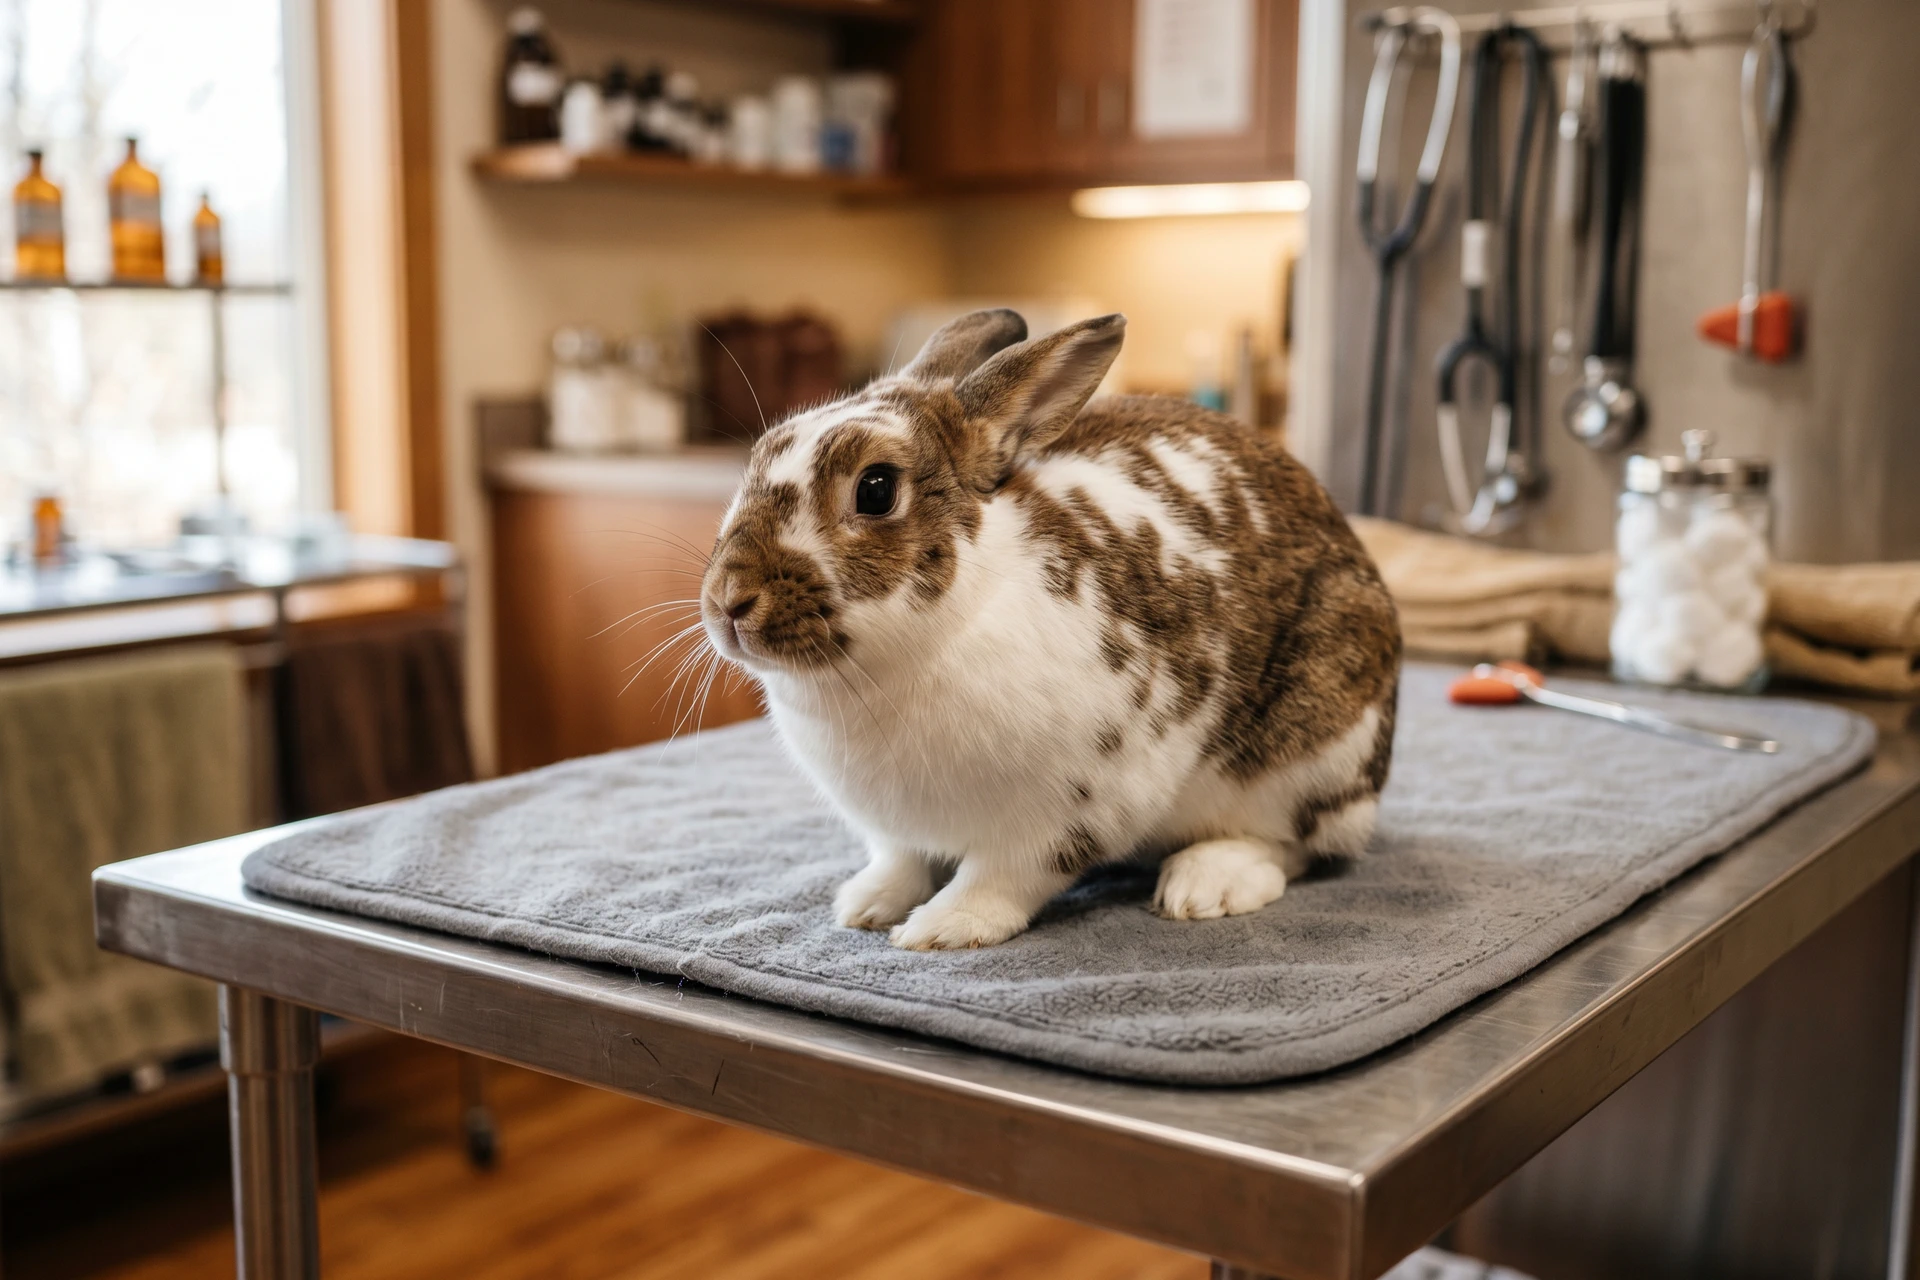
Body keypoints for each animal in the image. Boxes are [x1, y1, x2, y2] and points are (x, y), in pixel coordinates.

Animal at [699, 309, 1401, 950]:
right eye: (755, 459)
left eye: (875, 489)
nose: (729, 601)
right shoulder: (895, 830)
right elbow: (901, 861)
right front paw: (865, 905)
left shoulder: (1069, 811)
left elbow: (1004, 877)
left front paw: (940, 928)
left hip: (1310, 753)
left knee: (1295, 844)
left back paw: (1205, 885)